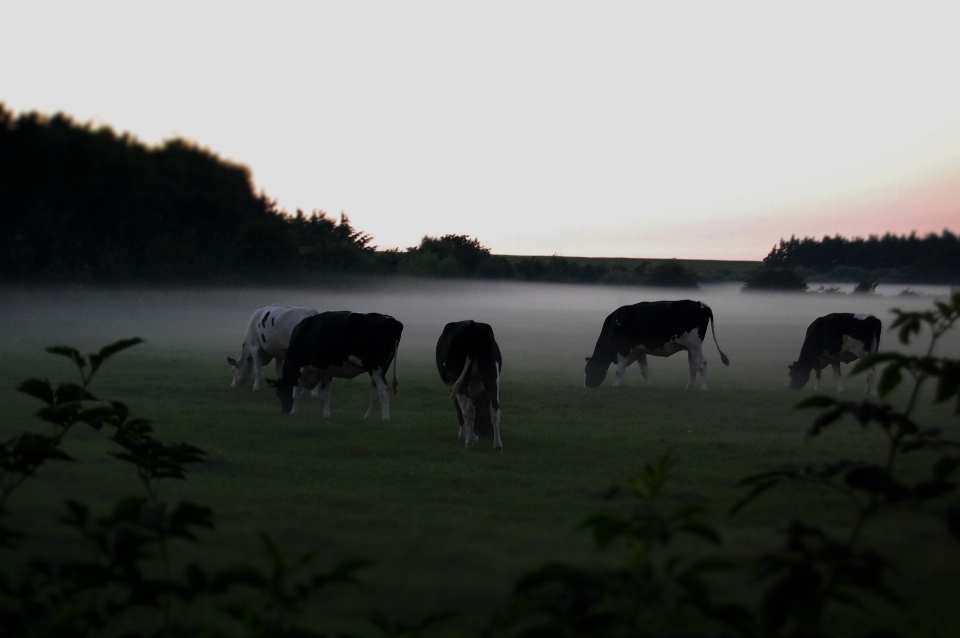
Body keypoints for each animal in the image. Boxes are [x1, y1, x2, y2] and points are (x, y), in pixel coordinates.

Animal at [268, 310, 404, 420]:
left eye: (278, 393)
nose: (284, 411)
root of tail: (390, 319)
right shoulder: (325, 371)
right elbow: (325, 395)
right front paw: (326, 415)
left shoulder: (298, 368)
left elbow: (296, 394)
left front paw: (294, 413)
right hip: (380, 369)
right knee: (375, 392)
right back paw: (367, 417)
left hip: (375, 367)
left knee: (383, 389)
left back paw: (385, 418)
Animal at [436, 322, 506, 452]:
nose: (488, 434)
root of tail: (472, 325)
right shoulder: (482, 389)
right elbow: (479, 407)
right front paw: (474, 435)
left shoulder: (453, 386)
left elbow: (460, 408)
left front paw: (464, 435)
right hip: (491, 377)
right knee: (495, 409)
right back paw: (498, 445)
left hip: (459, 379)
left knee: (468, 410)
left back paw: (468, 443)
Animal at [580, 302, 732, 390]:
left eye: (590, 370)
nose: (587, 385)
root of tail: (702, 305)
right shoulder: (639, 351)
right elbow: (644, 371)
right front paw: (650, 386)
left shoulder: (623, 348)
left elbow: (620, 370)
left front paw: (615, 386)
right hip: (690, 347)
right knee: (693, 367)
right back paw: (688, 388)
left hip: (694, 344)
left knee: (701, 363)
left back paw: (704, 388)